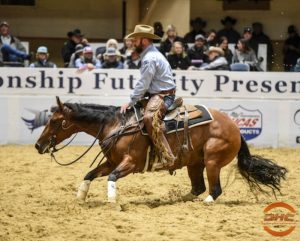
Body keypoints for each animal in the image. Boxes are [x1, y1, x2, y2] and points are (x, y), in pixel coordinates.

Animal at [35, 97, 286, 204]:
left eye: (55, 121)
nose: (38, 145)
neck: (117, 125)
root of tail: (236, 128)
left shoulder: (130, 163)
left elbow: (112, 177)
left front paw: (112, 200)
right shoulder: (111, 161)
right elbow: (90, 174)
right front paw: (80, 197)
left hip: (213, 160)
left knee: (214, 189)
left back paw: (206, 202)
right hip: (194, 163)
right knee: (198, 187)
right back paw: (179, 201)